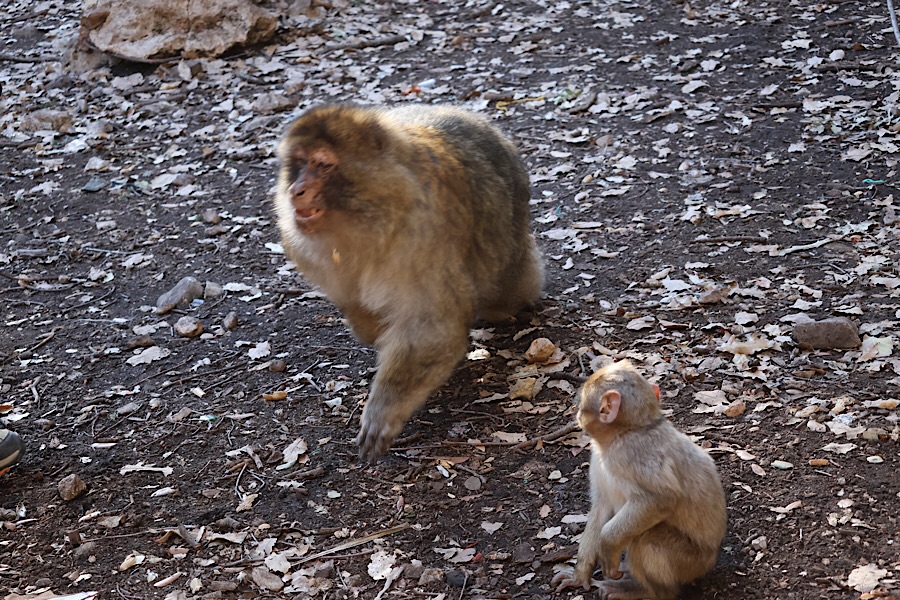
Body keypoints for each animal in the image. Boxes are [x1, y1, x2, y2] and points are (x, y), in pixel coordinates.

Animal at [274, 104, 544, 462]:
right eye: (300, 163)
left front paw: (383, 411)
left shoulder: (420, 233)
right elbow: (357, 307)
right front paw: (370, 324)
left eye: (323, 164)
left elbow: (431, 331)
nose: (296, 190)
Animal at [553, 360, 726, 600]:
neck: (628, 430)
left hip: (690, 561)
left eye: (581, 407)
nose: (576, 416)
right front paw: (580, 575)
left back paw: (648, 591)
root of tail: (711, 559)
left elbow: (660, 498)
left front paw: (607, 547)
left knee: (647, 537)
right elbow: (601, 507)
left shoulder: (632, 454)